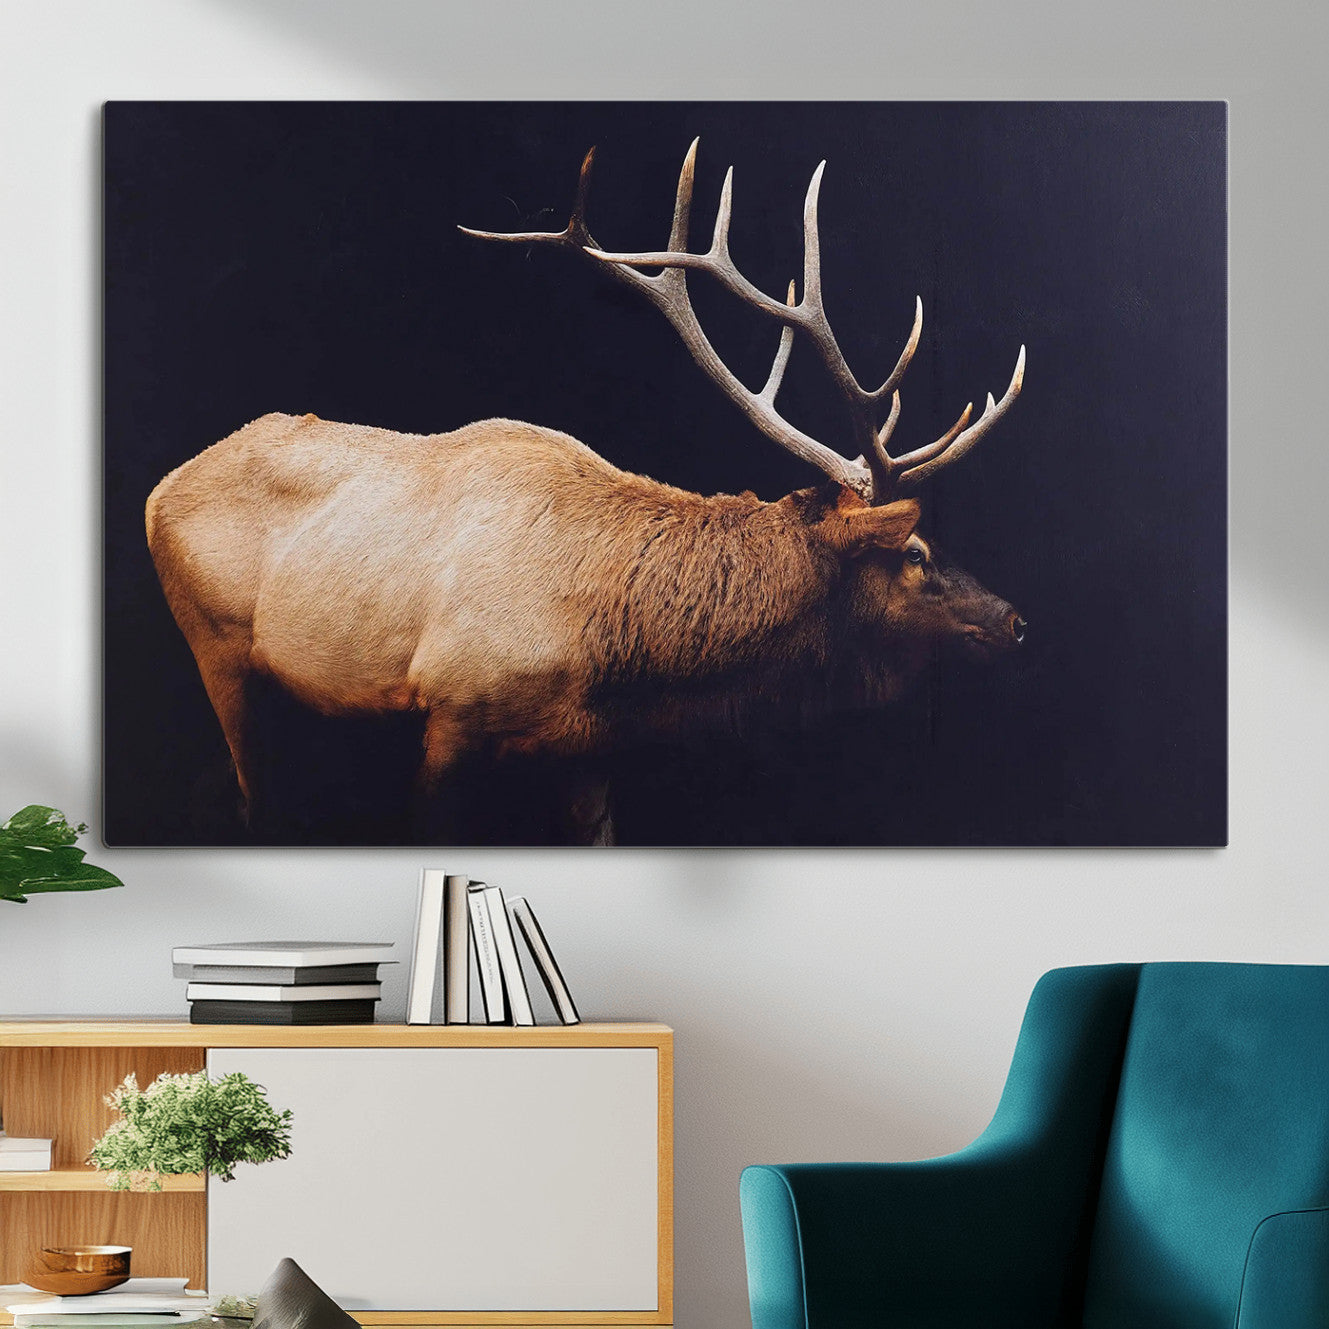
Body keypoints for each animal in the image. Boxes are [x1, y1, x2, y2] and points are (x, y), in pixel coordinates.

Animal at [145, 140, 1026, 845]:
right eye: (914, 551)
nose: (1014, 620)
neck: (615, 649)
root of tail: (159, 488)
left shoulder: (589, 750)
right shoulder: (450, 709)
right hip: (215, 645)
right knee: (254, 799)